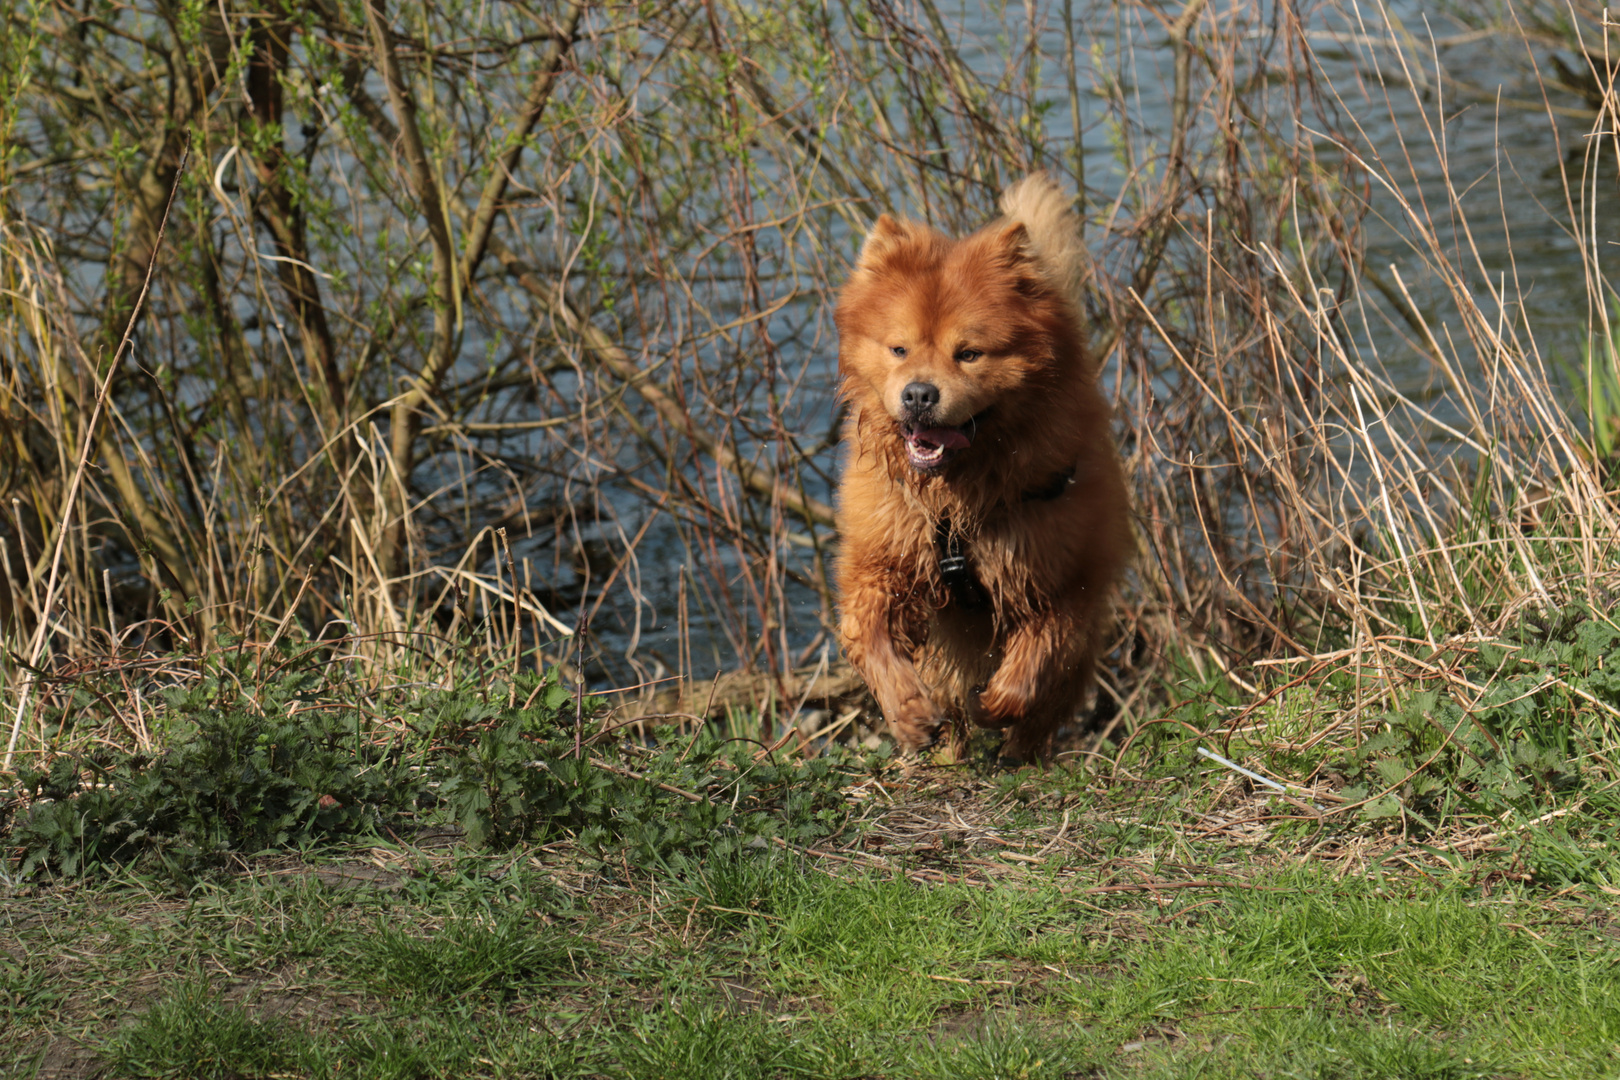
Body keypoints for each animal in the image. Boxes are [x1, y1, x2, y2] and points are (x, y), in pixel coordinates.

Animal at [835, 175, 1127, 761]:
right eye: (898, 349)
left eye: (969, 354)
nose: (919, 394)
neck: (955, 498)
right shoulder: (882, 559)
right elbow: (868, 632)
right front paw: (907, 712)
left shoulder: (1059, 581)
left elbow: (1036, 659)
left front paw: (994, 703)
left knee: (1046, 705)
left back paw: (1017, 753)